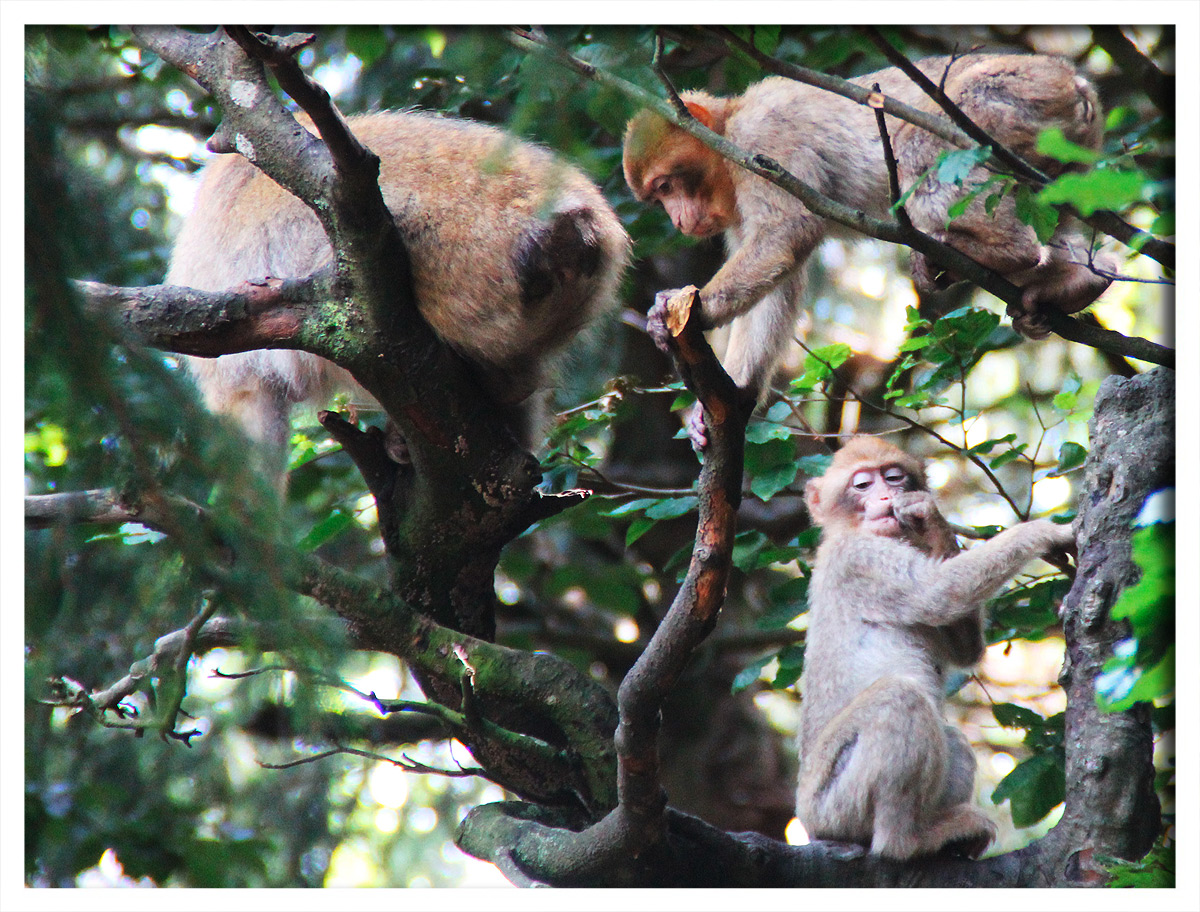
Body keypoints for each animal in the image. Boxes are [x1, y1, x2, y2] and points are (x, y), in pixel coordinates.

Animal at [624, 53, 1108, 446]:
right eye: (658, 198)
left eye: (666, 186)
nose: (678, 220)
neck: (728, 135)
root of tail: (1075, 81)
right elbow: (780, 281)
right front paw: (728, 397)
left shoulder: (760, 143)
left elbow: (786, 234)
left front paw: (693, 311)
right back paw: (1078, 281)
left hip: (1006, 101)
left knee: (920, 149)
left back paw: (1004, 253)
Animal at [792, 439, 1075, 859]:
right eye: (862, 485)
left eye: (894, 477)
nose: (886, 496)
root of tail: (809, 825)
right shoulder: (859, 559)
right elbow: (939, 593)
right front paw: (1048, 531)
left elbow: (963, 649)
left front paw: (930, 519)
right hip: (834, 803)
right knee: (901, 698)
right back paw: (905, 841)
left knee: (950, 736)